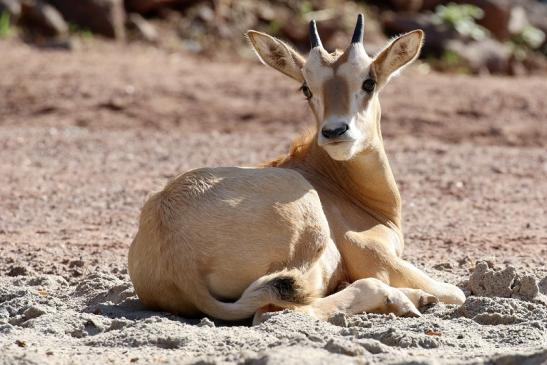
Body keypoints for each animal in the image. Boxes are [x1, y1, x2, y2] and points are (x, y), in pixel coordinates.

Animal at [130, 14, 466, 322]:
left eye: (368, 82)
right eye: (307, 88)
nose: (334, 131)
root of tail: (179, 258)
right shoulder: (375, 256)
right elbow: (457, 292)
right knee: (278, 308)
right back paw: (404, 300)